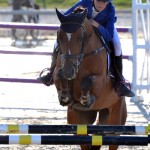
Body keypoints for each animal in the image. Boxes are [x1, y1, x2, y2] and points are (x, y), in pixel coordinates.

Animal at [53, 8, 126, 150]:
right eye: (59, 36)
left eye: (81, 37)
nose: (69, 71)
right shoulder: (59, 71)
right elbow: (58, 75)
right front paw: (65, 96)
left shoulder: (101, 80)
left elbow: (87, 82)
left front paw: (86, 99)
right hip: (80, 120)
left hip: (115, 118)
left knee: (112, 139)